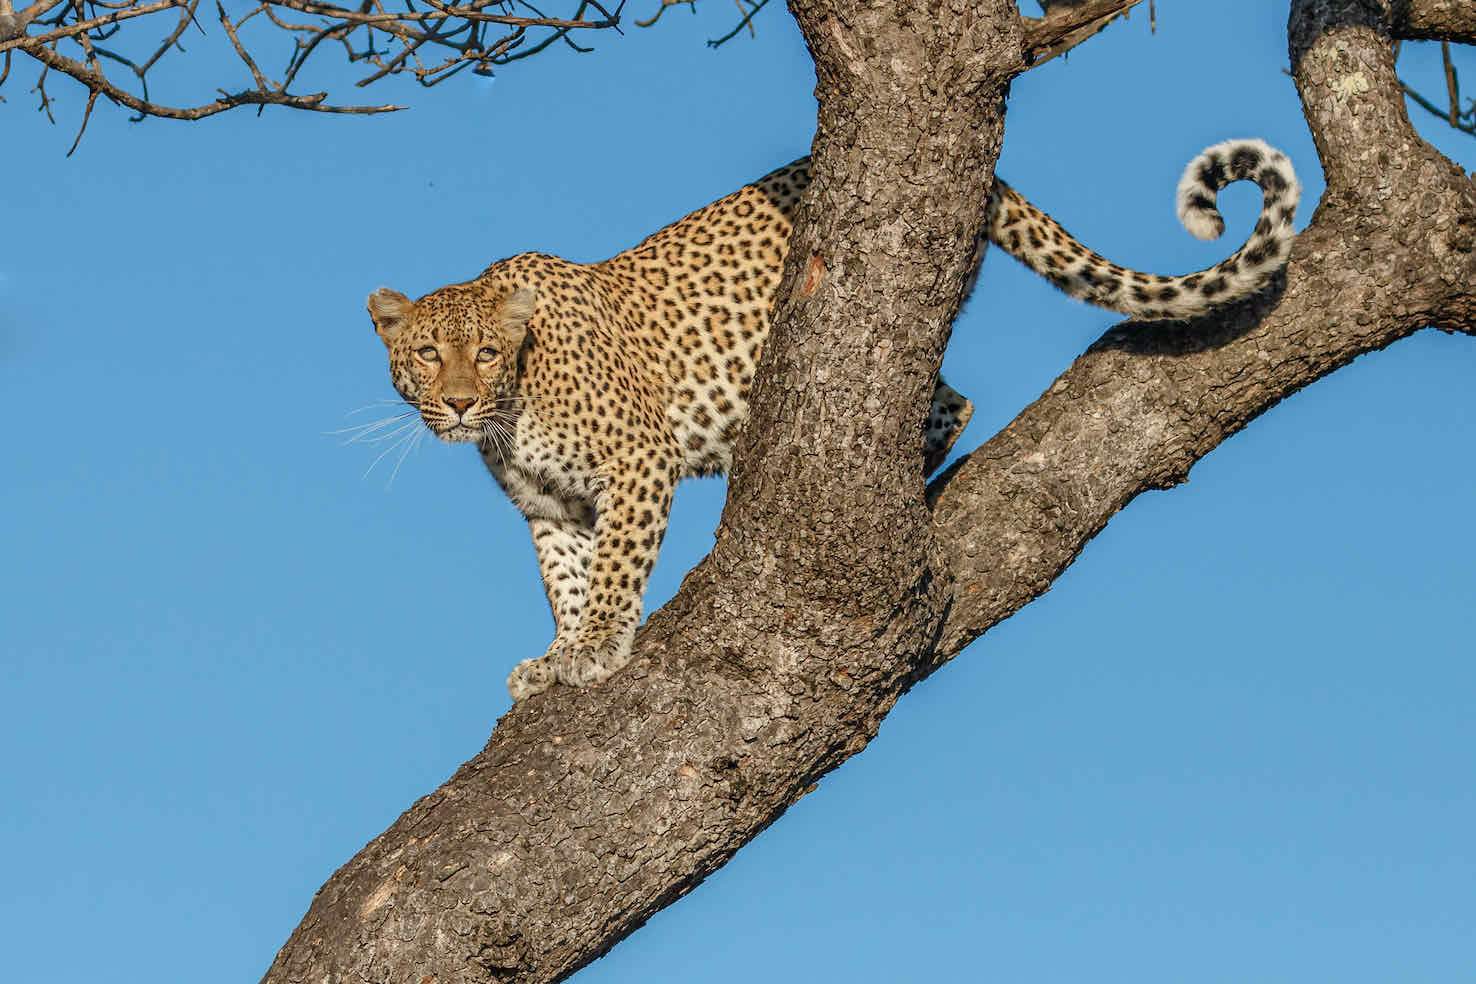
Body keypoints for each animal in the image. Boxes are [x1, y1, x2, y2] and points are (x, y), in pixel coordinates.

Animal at [366, 138, 1300, 701]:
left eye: (487, 353)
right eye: (427, 354)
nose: (457, 401)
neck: (512, 409)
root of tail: (987, 178)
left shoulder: (637, 462)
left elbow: (615, 572)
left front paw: (597, 645)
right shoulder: (551, 507)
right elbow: (564, 577)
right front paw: (557, 655)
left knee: (944, 403)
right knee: (951, 401)